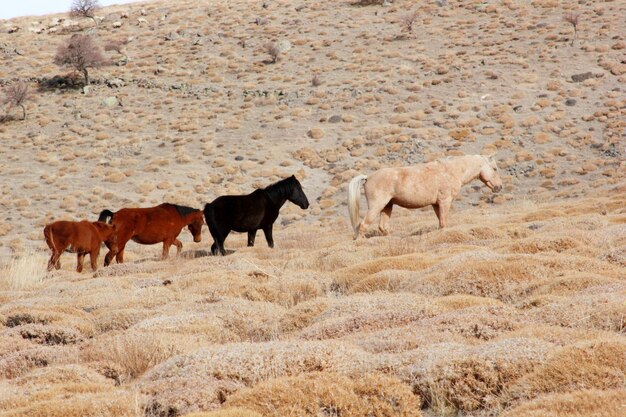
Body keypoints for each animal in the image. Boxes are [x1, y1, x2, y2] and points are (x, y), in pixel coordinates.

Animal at [346, 154, 502, 239]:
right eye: (494, 168)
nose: (499, 187)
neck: (450, 171)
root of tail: (367, 177)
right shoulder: (445, 202)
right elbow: (443, 222)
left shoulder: (436, 204)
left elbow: (440, 223)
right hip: (377, 206)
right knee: (363, 225)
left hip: (387, 206)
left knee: (383, 227)